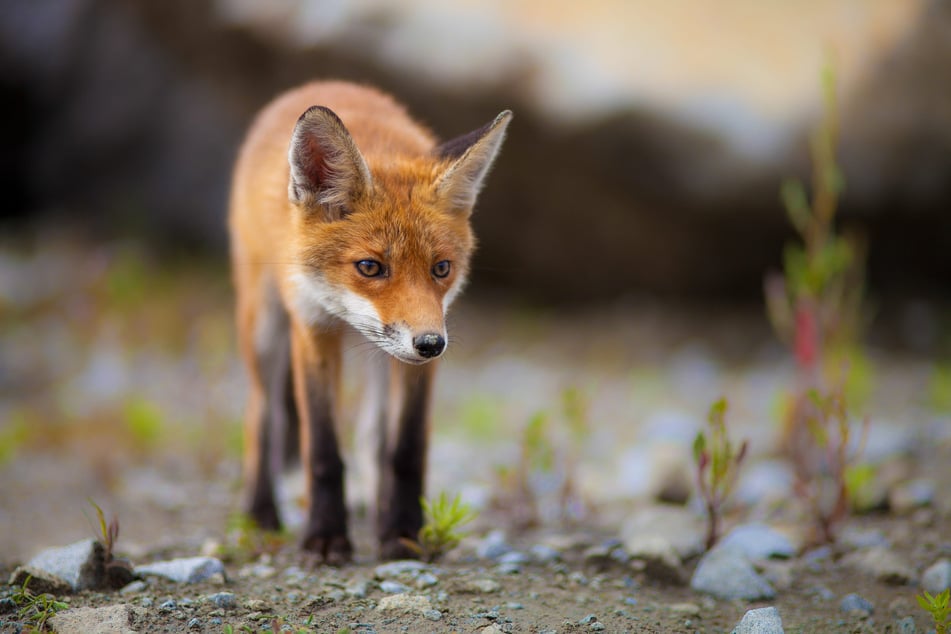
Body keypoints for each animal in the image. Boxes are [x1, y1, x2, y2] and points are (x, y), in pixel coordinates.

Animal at [228, 80, 511, 562]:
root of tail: (322, 84)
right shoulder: (313, 328)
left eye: (441, 268)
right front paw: (325, 538)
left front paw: (402, 533)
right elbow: (322, 451)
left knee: (373, 438)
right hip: (263, 325)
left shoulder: (423, 347)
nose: (431, 344)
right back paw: (262, 512)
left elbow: (405, 450)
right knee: (264, 414)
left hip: (384, 354)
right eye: (370, 267)